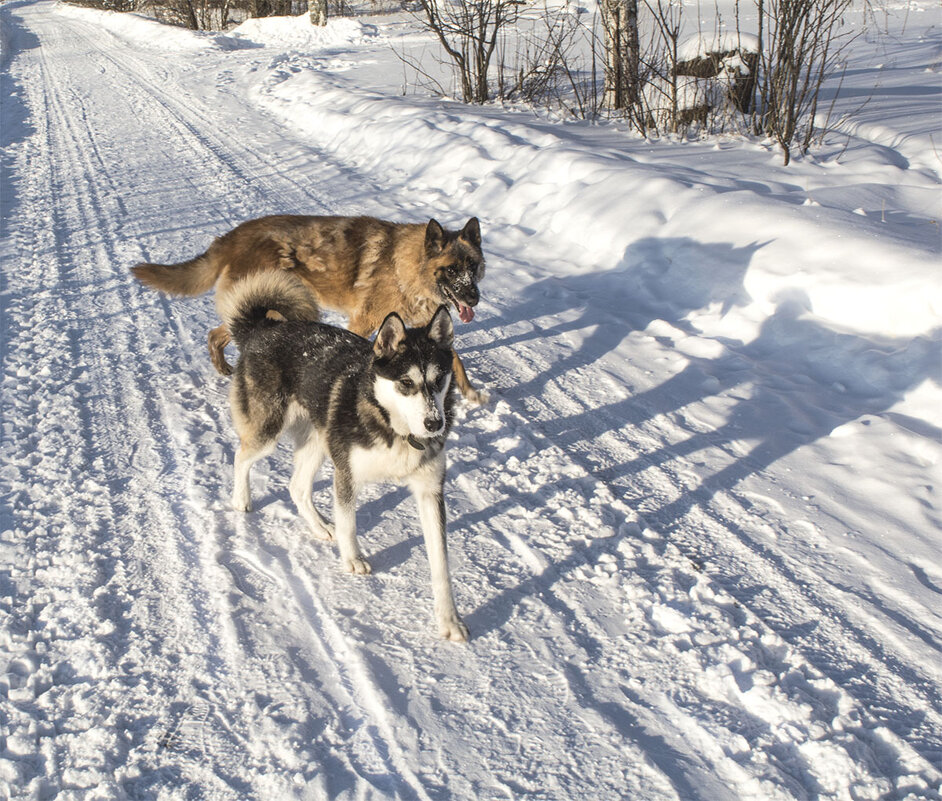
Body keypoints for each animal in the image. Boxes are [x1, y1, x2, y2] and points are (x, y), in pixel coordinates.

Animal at [133, 212, 490, 404]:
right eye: (451, 270)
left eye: (472, 266)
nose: (473, 299)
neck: (410, 265)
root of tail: (230, 237)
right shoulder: (362, 323)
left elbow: (455, 358)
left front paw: (470, 392)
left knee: (217, 333)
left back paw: (223, 367)